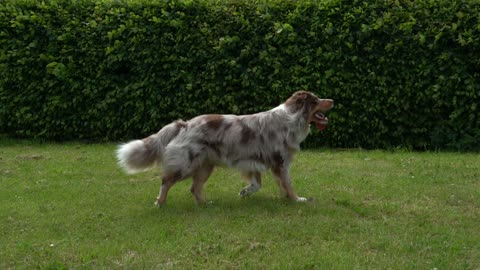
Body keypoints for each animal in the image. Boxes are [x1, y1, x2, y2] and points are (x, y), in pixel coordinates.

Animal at [116, 90, 334, 205]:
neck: (292, 119)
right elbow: (288, 183)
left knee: (194, 187)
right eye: (316, 100)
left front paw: (246, 192)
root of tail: (184, 124)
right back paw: (160, 202)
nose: (332, 100)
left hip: (205, 166)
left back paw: (205, 204)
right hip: (186, 164)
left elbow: (259, 184)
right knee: (166, 181)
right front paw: (297, 199)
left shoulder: (254, 160)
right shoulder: (280, 162)